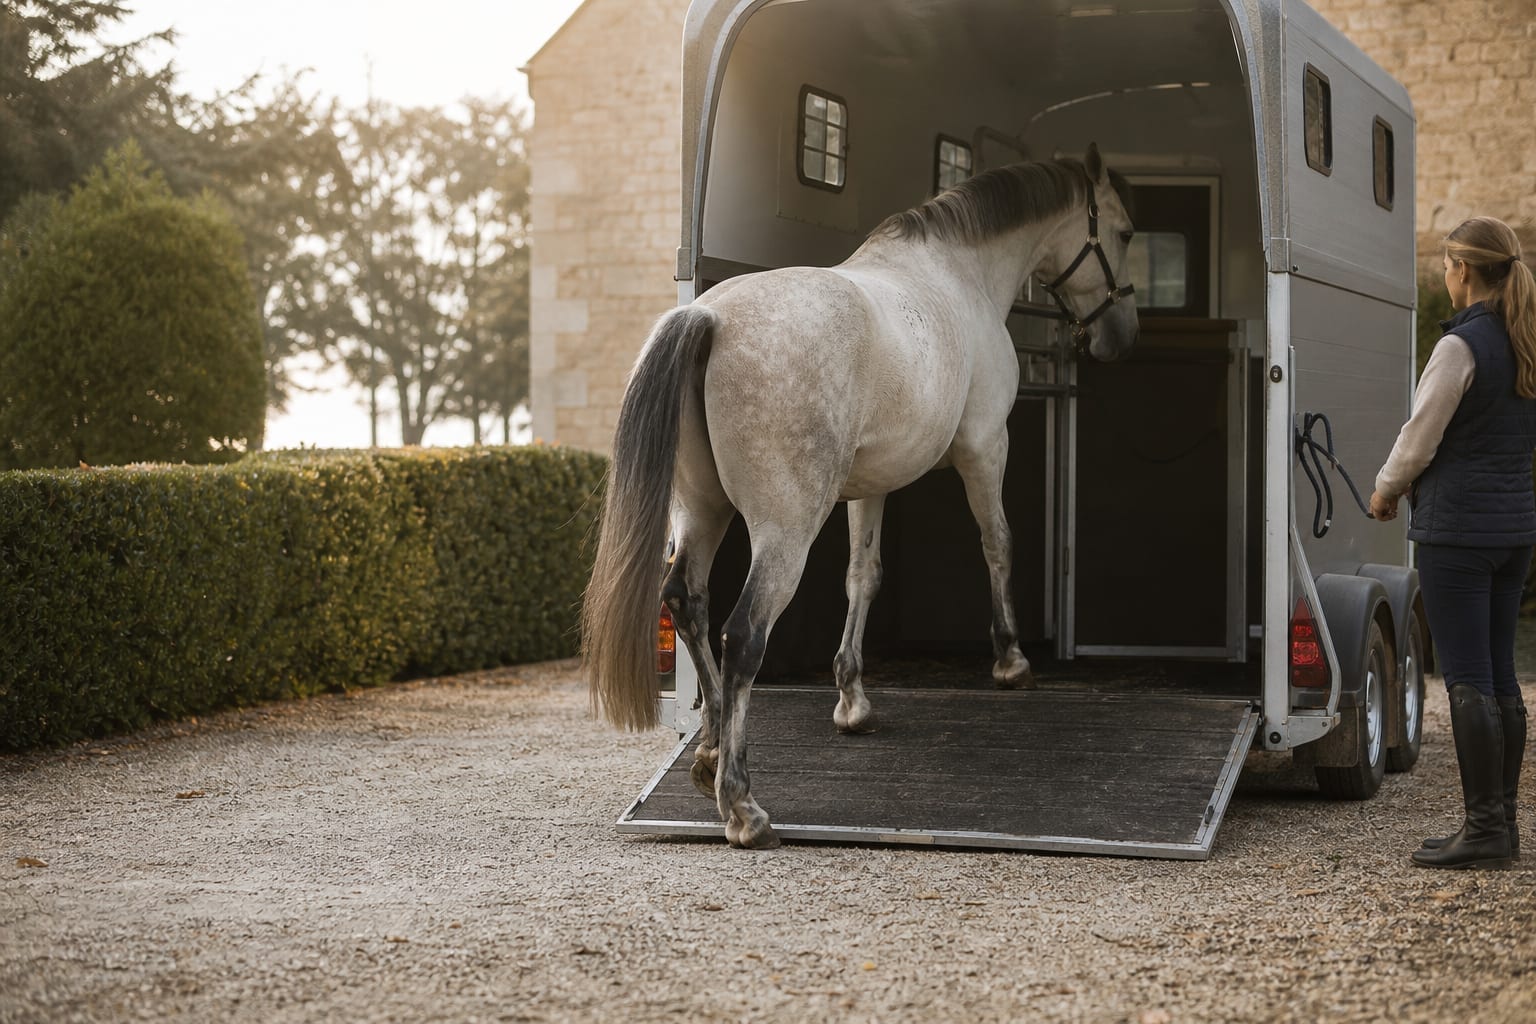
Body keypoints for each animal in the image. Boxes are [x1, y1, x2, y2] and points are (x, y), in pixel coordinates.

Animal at [583, 144, 1139, 849]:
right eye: (1124, 232)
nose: (1121, 334)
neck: (959, 273)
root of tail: (707, 316)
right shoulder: (987, 446)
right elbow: (999, 545)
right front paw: (1011, 661)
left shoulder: (869, 485)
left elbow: (862, 575)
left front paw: (853, 700)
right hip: (785, 529)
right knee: (743, 634)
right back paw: (743, 806)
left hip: (703, 511)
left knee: (687, 601)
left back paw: (708, 754)